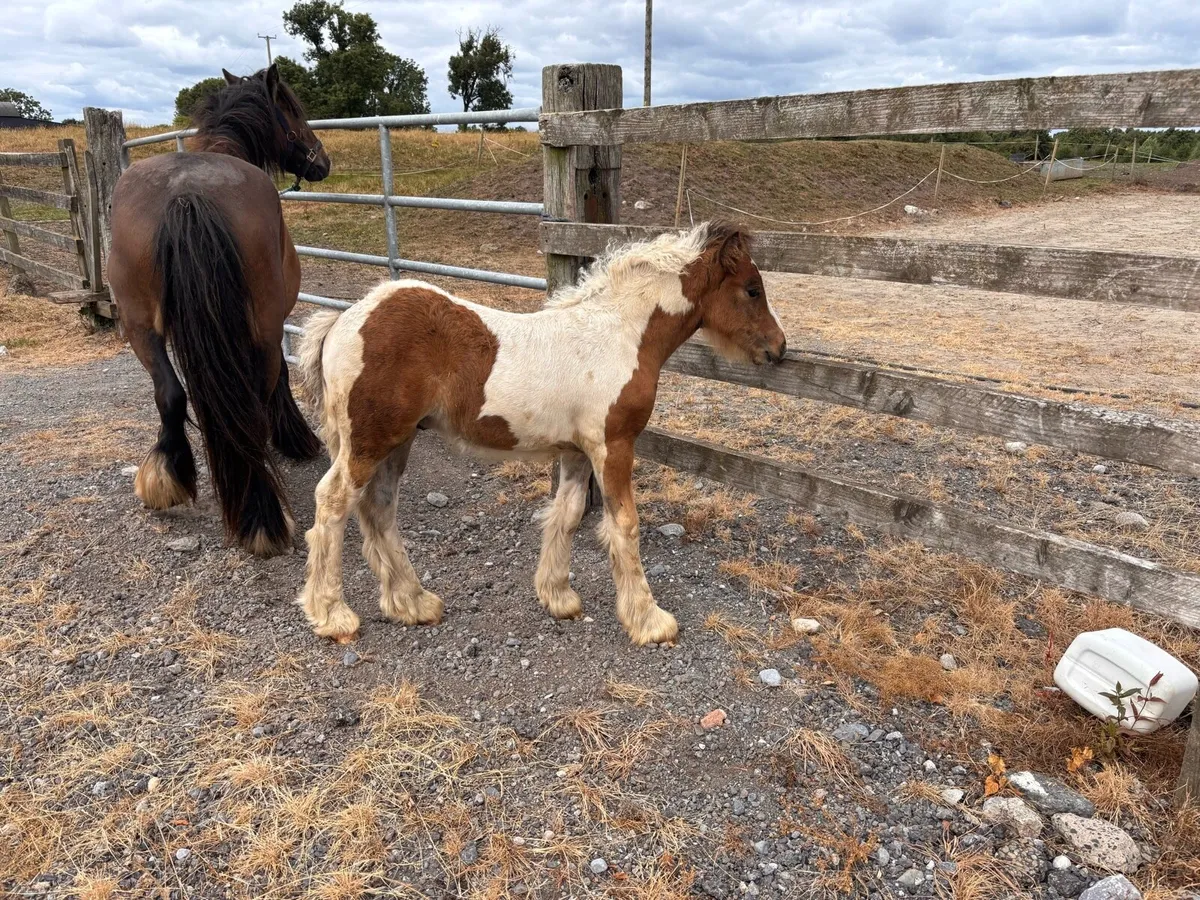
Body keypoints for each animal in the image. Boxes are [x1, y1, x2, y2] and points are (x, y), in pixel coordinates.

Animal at [107, 64, 331, 557]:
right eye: (292, 110)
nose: (321, 161)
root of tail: (186, 194)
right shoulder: (272, 322)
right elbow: (279, 379)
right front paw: (295, 438)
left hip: (138, 327)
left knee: (170, 394)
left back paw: (167, 482)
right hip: (259, 326)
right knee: (254, 398)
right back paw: (261, 514)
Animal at [295, 222, 787, 646]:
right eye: (752, 289)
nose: (779, 348)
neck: (620, 334)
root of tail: (341, 320)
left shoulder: (576, 451)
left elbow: (566, 513)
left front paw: (559, 597)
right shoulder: (614, 446)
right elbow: (625, 524)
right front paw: (649, 621)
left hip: (397, 442)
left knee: (378, 509)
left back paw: (412, 604)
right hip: (369, 442)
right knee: (333, 502)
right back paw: (332, 614)